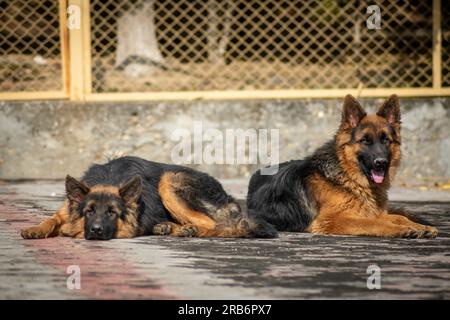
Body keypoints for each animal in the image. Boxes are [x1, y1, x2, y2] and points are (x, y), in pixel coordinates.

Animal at [21, 156, 276, 239]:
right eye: (89, 211)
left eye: (112, 213)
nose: (95, 231)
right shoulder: (66, 208)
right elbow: (52, 218)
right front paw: (36, 229)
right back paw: (169, 227)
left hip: (169, 180)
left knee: (213, 225)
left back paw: (187, 229)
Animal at [248, 94, 438, 239]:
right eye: (365, 140)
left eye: (386, 140)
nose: (381, 162)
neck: (348, 176)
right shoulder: (331, 220)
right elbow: (374, 222)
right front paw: (403, 229)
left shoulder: (374, 211)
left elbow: (398, 217)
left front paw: (420, 226)